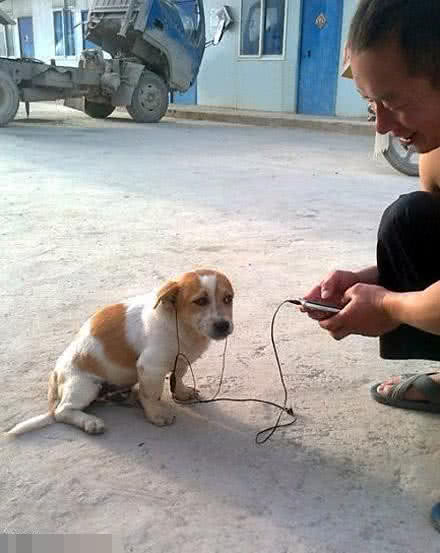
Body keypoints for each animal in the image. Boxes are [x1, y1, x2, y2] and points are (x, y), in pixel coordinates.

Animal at [6, 268, 234, 436]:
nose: (224, 325)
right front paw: (156, 415)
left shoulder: (181, 360)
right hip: (84, 385)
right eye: (200, 301)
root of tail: (55, 375)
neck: (181, 325)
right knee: (62, 412)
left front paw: (182, 392)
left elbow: (178, 377)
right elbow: (151, 394)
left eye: (228, 299)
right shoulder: (150, 367)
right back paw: (90, 422)